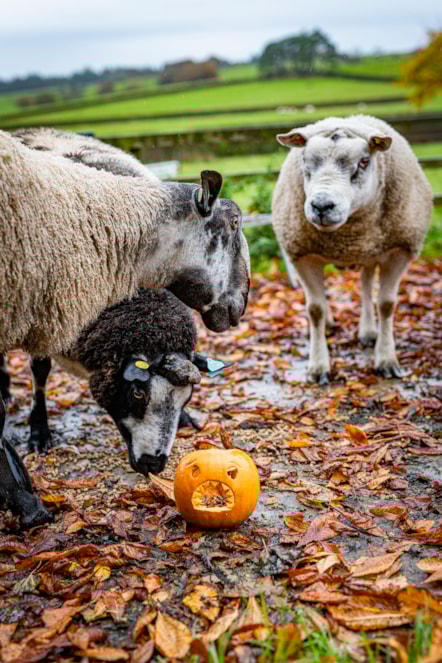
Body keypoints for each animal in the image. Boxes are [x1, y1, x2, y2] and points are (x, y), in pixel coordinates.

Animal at [2, 288, 230, 476]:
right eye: (137, 393)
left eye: (188, 398)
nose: (154, 464)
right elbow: (40, 371)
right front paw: (39, 434)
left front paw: (184, 417)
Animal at [272, 115, 432, 383]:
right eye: (304, 160)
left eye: (364, 162)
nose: (321, 205)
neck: (347, 236)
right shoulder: (303, 255)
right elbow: (315, 309)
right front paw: (318, 366)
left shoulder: (400, 251)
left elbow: (386, 304)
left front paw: (387, 360)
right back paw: (330, 324)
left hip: (370, 252)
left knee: (366, 287)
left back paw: (368, 332)